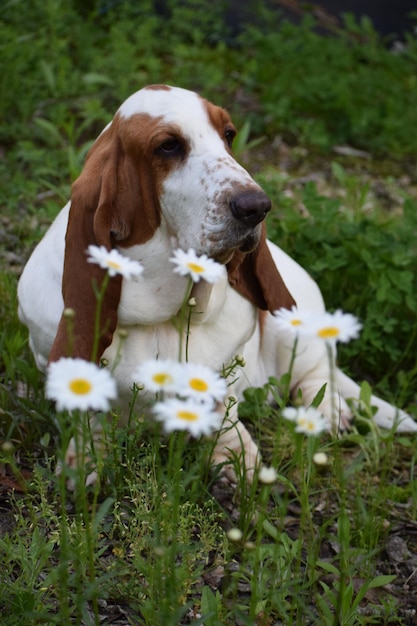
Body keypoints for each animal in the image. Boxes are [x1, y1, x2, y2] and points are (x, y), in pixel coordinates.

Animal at [17, 84, 416, 478]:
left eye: (229, 134)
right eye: (168, 146)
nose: (257, 207)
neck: (163, 317)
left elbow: (223, 411)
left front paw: (238, 459)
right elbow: (91, 414)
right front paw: (83, 459)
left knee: (318, 373)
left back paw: (327, 413)